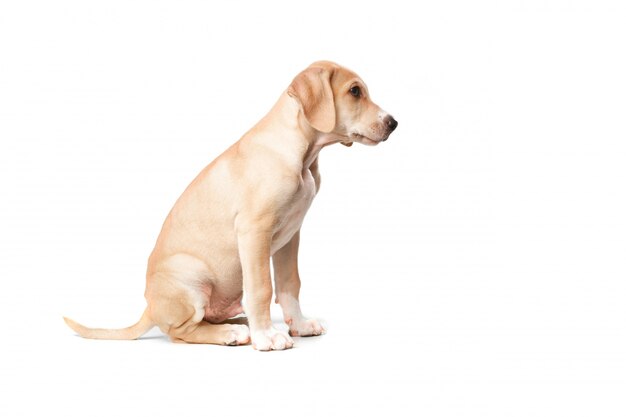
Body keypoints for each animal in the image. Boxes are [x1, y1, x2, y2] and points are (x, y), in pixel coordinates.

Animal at [63, 60, 394, 350]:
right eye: (355, 91)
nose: (393, 123)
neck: (302, 154)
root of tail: (150, 308)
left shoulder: (291, 235)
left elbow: (289, 283)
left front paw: (298, 325)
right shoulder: (254, 231)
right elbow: (262, 288)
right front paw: (267, 337)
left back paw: (237, 321)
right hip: (192, 278)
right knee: (181, 332)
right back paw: (231, 333)